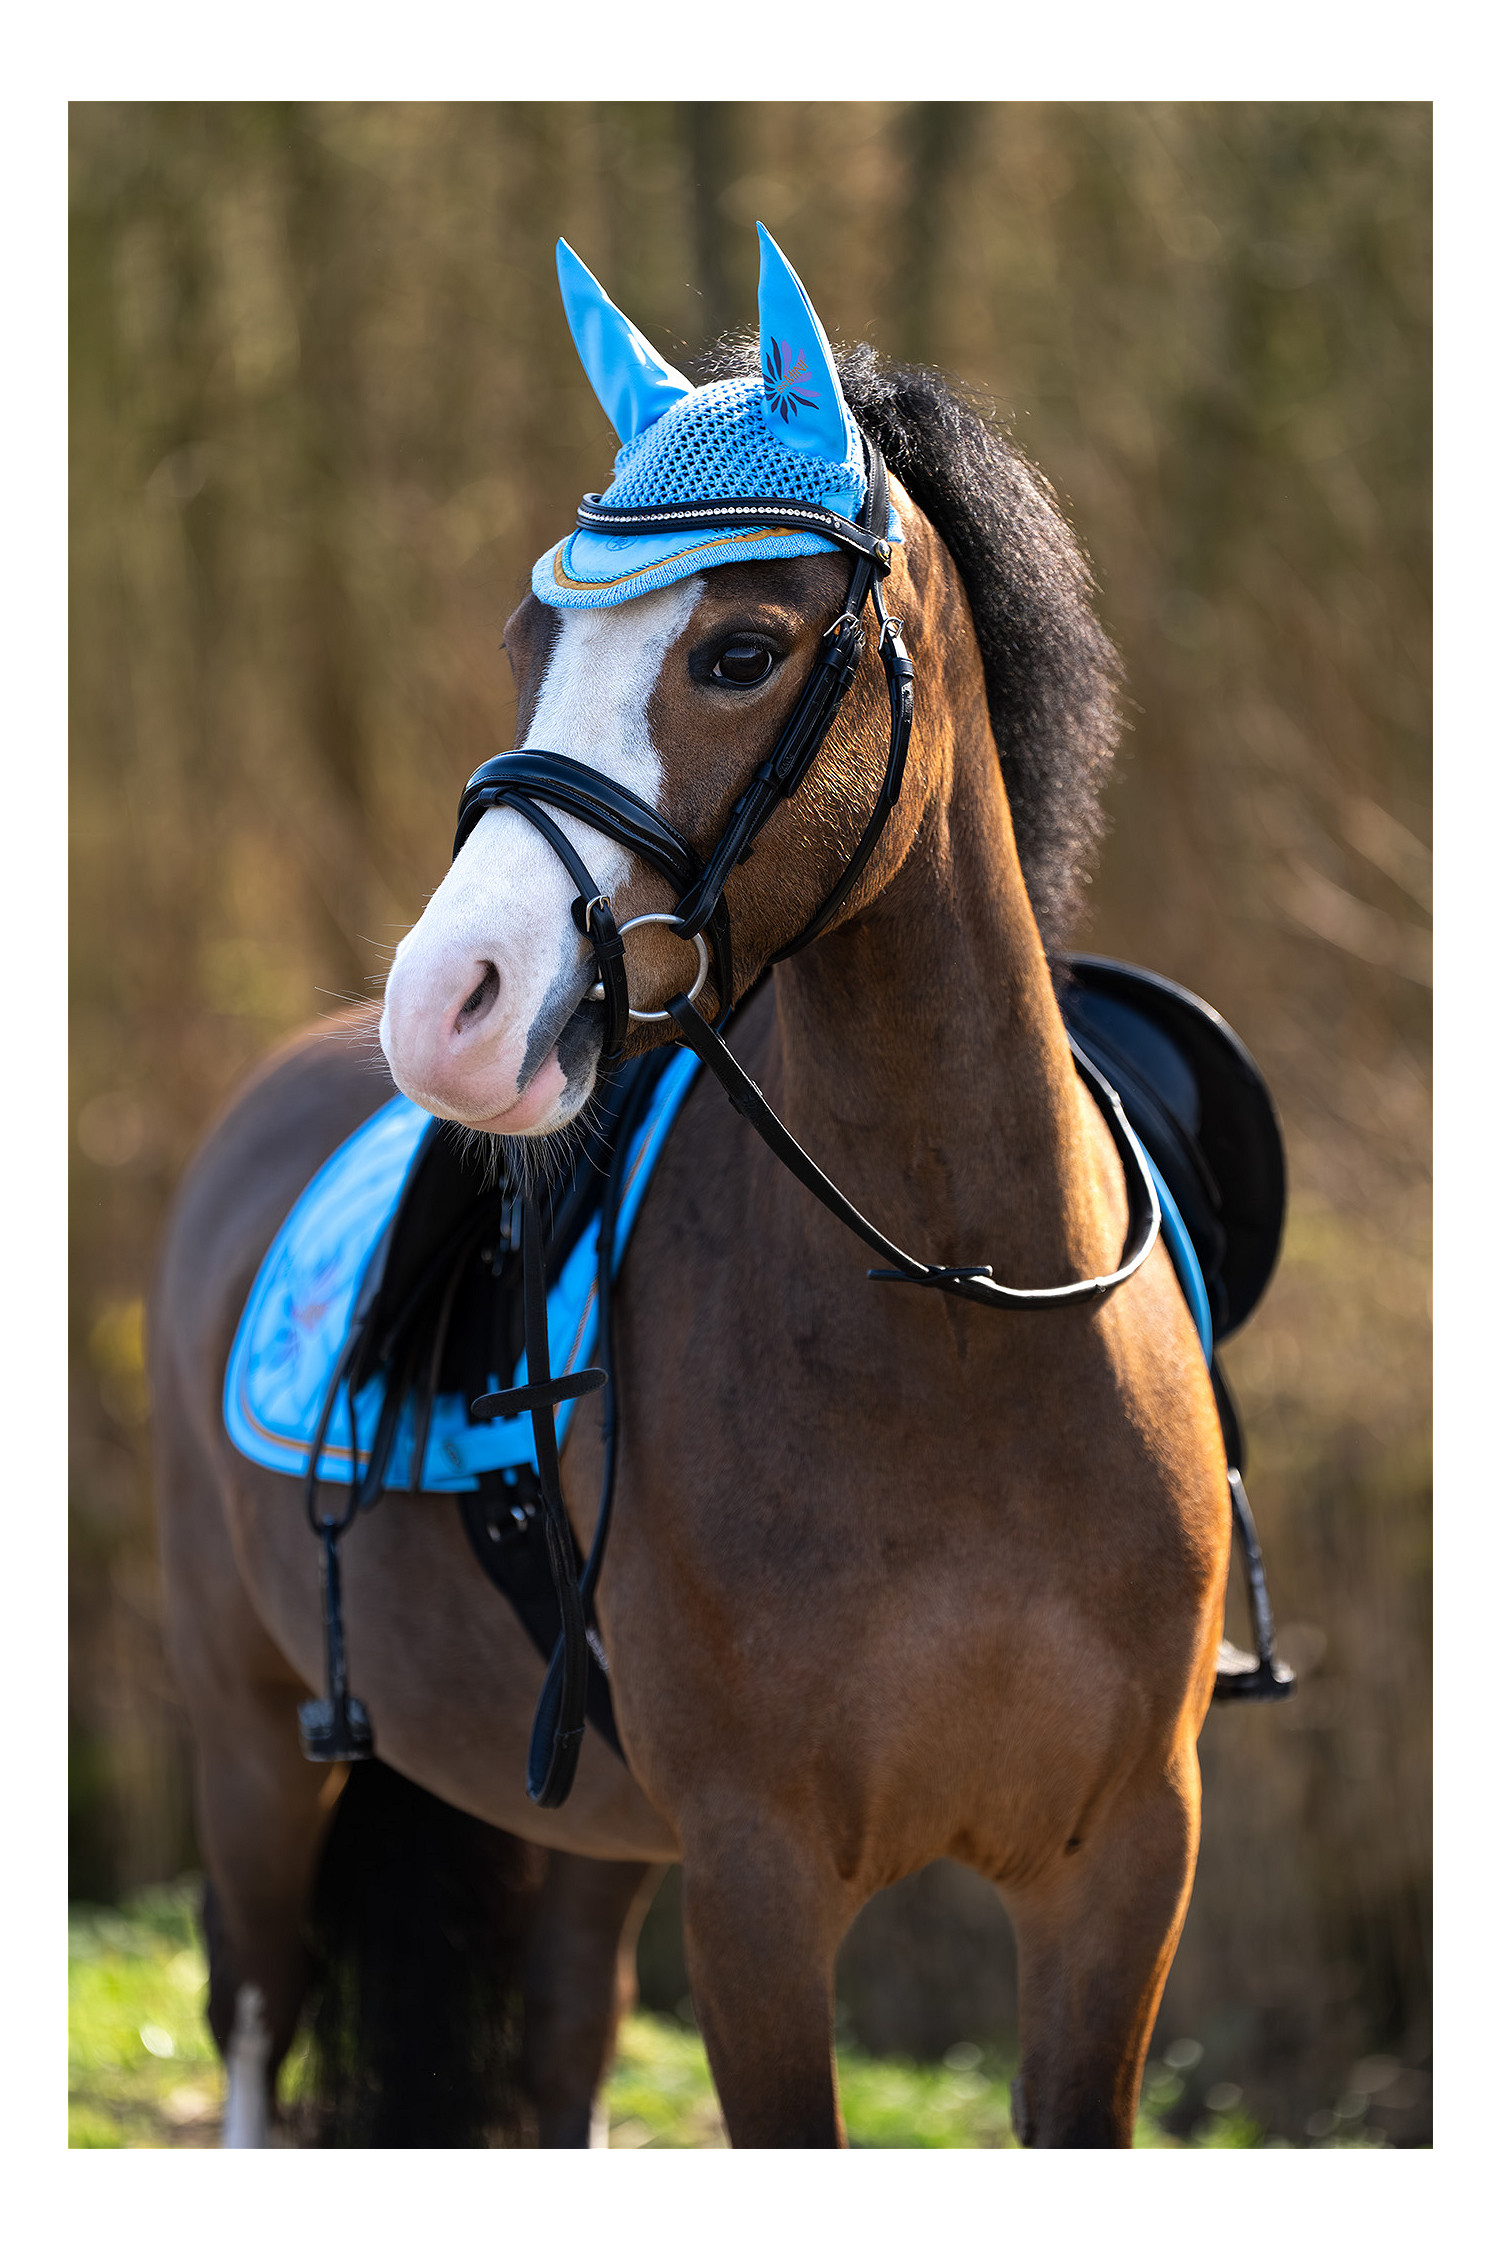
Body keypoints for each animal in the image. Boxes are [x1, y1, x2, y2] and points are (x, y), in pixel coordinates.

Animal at [148, 237, 1231, 2148]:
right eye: (531, 640)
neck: (962, 1315)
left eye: (739, 650)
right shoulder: (759, 1877)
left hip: (587, 1833)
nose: (448, 1005)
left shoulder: (1122, 1873)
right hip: (256, 1740)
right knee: (259, 2021)